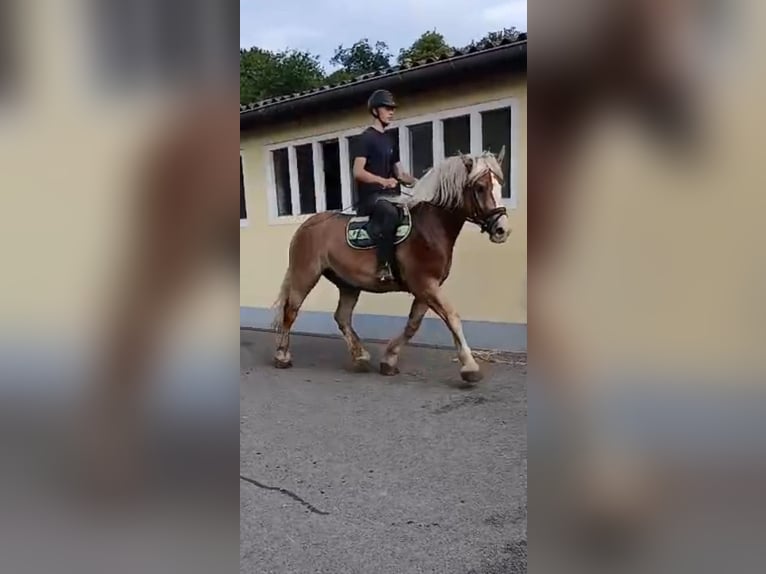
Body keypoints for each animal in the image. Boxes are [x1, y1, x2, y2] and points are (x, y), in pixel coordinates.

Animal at [271, 147, 510, 383]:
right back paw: (282, 356)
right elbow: (452, 317)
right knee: (291, 311)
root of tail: (307, 225)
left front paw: (389, 360)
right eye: (480, 187)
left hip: (348, 284)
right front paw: (470, 367)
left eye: (501, 183)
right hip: (305, 275)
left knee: (342, 317)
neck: (429, 228)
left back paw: (360, 356)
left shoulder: (427, 289)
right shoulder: (426, 285)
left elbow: (413, 325)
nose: (502, 230)